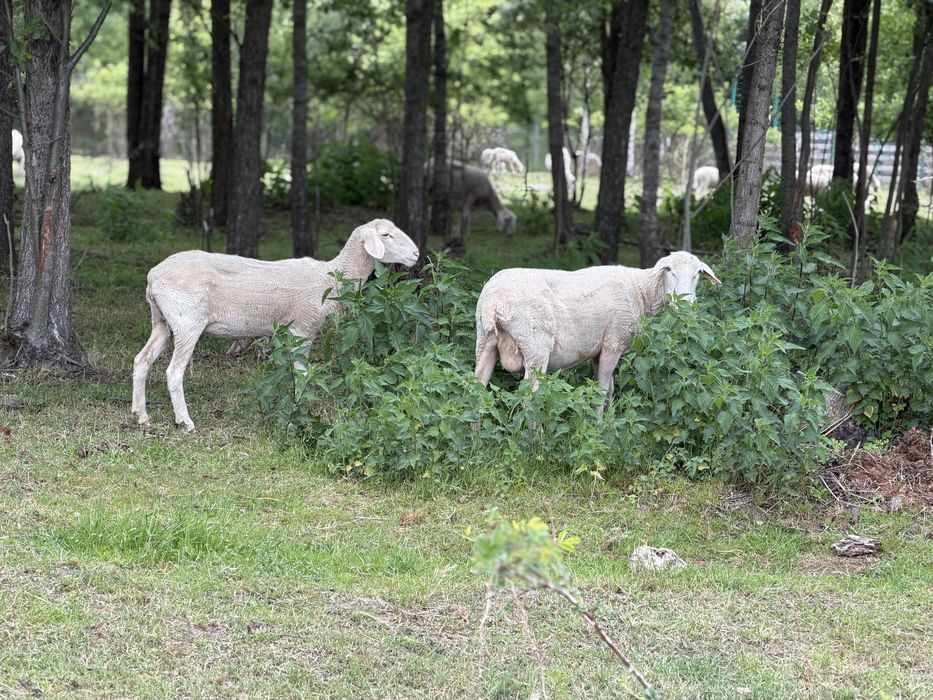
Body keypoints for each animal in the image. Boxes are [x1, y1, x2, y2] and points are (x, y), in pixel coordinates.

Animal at [131, 219, 419, 432]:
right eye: (386, 235)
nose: (416, 253)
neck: (333, 276)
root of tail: (153, 276)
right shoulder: (302, 327)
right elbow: (302, 374)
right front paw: (301, 411)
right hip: (187, 321)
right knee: (173, 372)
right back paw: (185, 421)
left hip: (162, 322)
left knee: (141, 360)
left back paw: (141, 416)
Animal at [473, 252, 721, 414]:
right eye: (669, 270)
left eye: (698, 274)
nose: (685, 305)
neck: (642, 290)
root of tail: (492, 304)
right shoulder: (614, 342)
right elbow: (602, 390)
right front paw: (599, 426)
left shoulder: (597, 350)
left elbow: (610, 389)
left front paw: (610, 424)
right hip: (535, 345)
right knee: (530, 397)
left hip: (484, 340)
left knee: (476, 388)